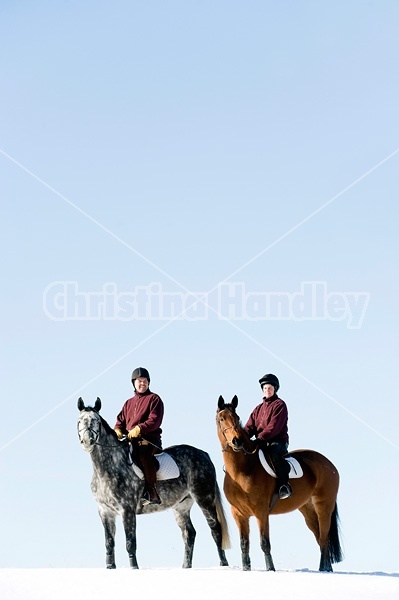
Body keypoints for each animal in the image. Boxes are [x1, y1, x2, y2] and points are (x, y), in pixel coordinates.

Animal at [77, 398, 231, 568]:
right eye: (79, 421)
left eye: (96, 421)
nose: (87, 441)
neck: (109, 467)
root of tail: (203, 454)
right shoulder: (105, 512)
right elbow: (109, 543)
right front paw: (110, 567)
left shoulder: (127, 510)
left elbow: (130, 543)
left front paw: (134, 567)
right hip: (181, 506)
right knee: (189, 533)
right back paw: (186, 567)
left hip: (204, 498)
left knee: (215, 529)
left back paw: (224, 564)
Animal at [216, 396, 344, 568]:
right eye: (222, 418)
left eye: (236, 418)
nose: (237, 441)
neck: (242, 470)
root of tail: (329, 464)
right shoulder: (239, 514)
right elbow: (244, 544)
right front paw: (246, 569)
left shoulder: (261, 512)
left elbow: (265, 543)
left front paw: (271, 569)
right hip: (308, 510)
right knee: (320, 537)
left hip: (324, 506)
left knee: (324, 537)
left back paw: (324, 569)